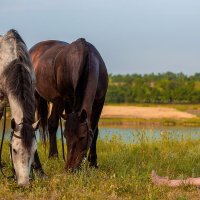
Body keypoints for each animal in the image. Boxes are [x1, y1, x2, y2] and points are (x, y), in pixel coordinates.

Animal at [29, 38, 108, 170]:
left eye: (82, 137)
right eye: (65, 135)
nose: (70, 169)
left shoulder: (99, 102)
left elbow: (95, 130)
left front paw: (93, 162)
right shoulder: (68, 100)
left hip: (57, 102)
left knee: (51, 123)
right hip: (39, 98)